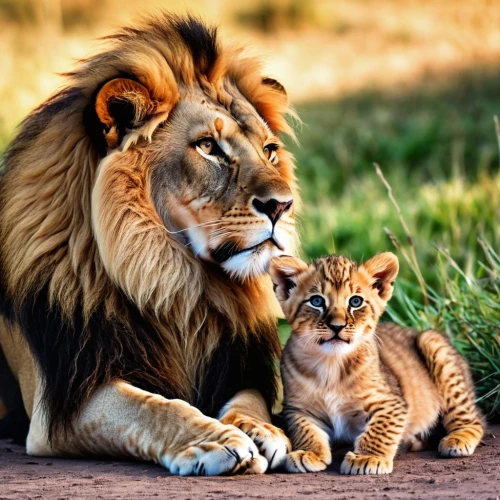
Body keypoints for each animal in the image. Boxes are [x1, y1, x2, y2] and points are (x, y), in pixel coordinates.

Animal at [0, 12, 296, 476]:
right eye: (208, 147)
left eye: (269, 150)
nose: (282, 205)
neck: (176, 284)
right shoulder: (60, 404)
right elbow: (154, 408)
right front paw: (216, 441)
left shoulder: (237, 367)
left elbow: (251, 403)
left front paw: (264, 431)